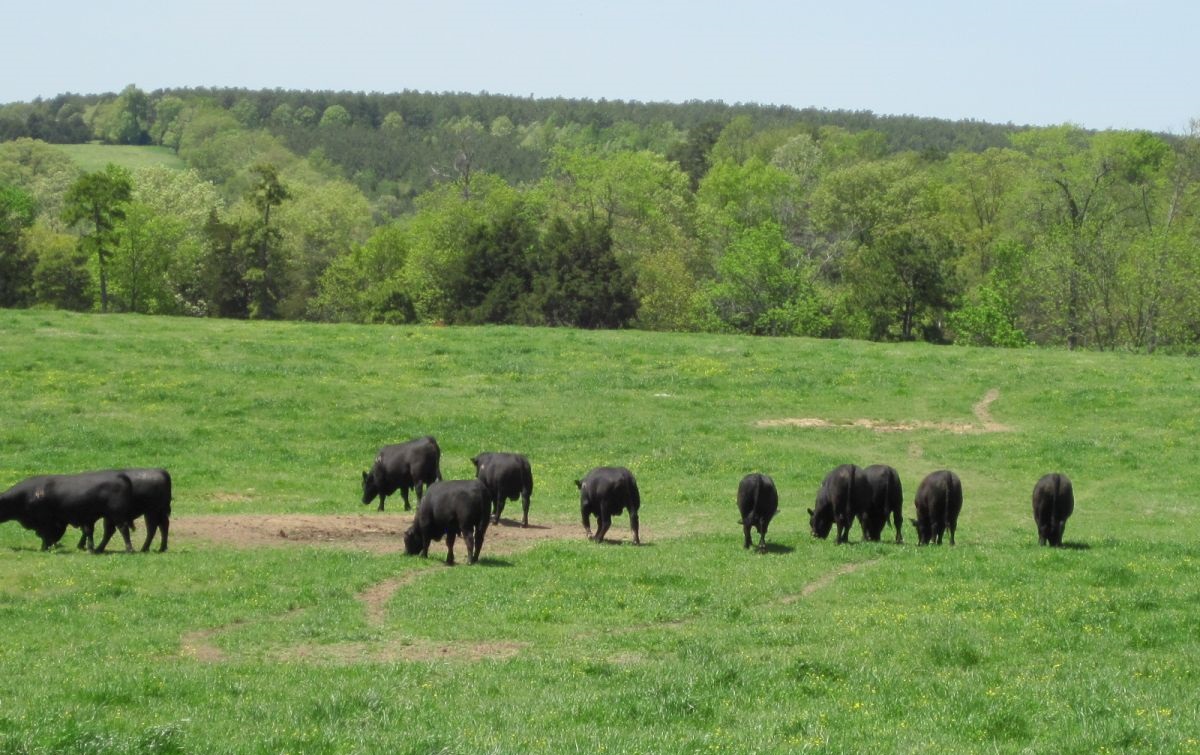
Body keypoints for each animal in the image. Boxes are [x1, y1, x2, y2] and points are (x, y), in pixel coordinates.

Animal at [0, 468, 136, 549]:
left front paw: (45, 548)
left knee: (123, 529)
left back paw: (128, 549)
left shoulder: (46, 521)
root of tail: (120, 476)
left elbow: (45, 534)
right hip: (109, 517)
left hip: (117, 515)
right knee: (109, 531)